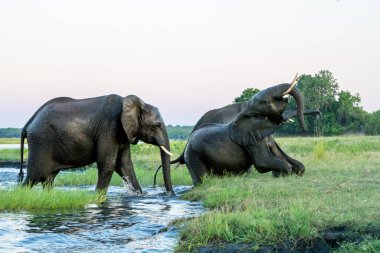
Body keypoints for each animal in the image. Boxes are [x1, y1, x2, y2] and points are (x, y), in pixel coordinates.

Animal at [19, 94, 175, 195]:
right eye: (157, 125)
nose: (170, 195)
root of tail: (29, 122)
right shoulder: (109, 128)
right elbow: (108, 164)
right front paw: (98, 198)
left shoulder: (123, 133)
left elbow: (124, 165)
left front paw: (138, 195)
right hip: (40, 143)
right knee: (33, 177)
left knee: (48, 178)